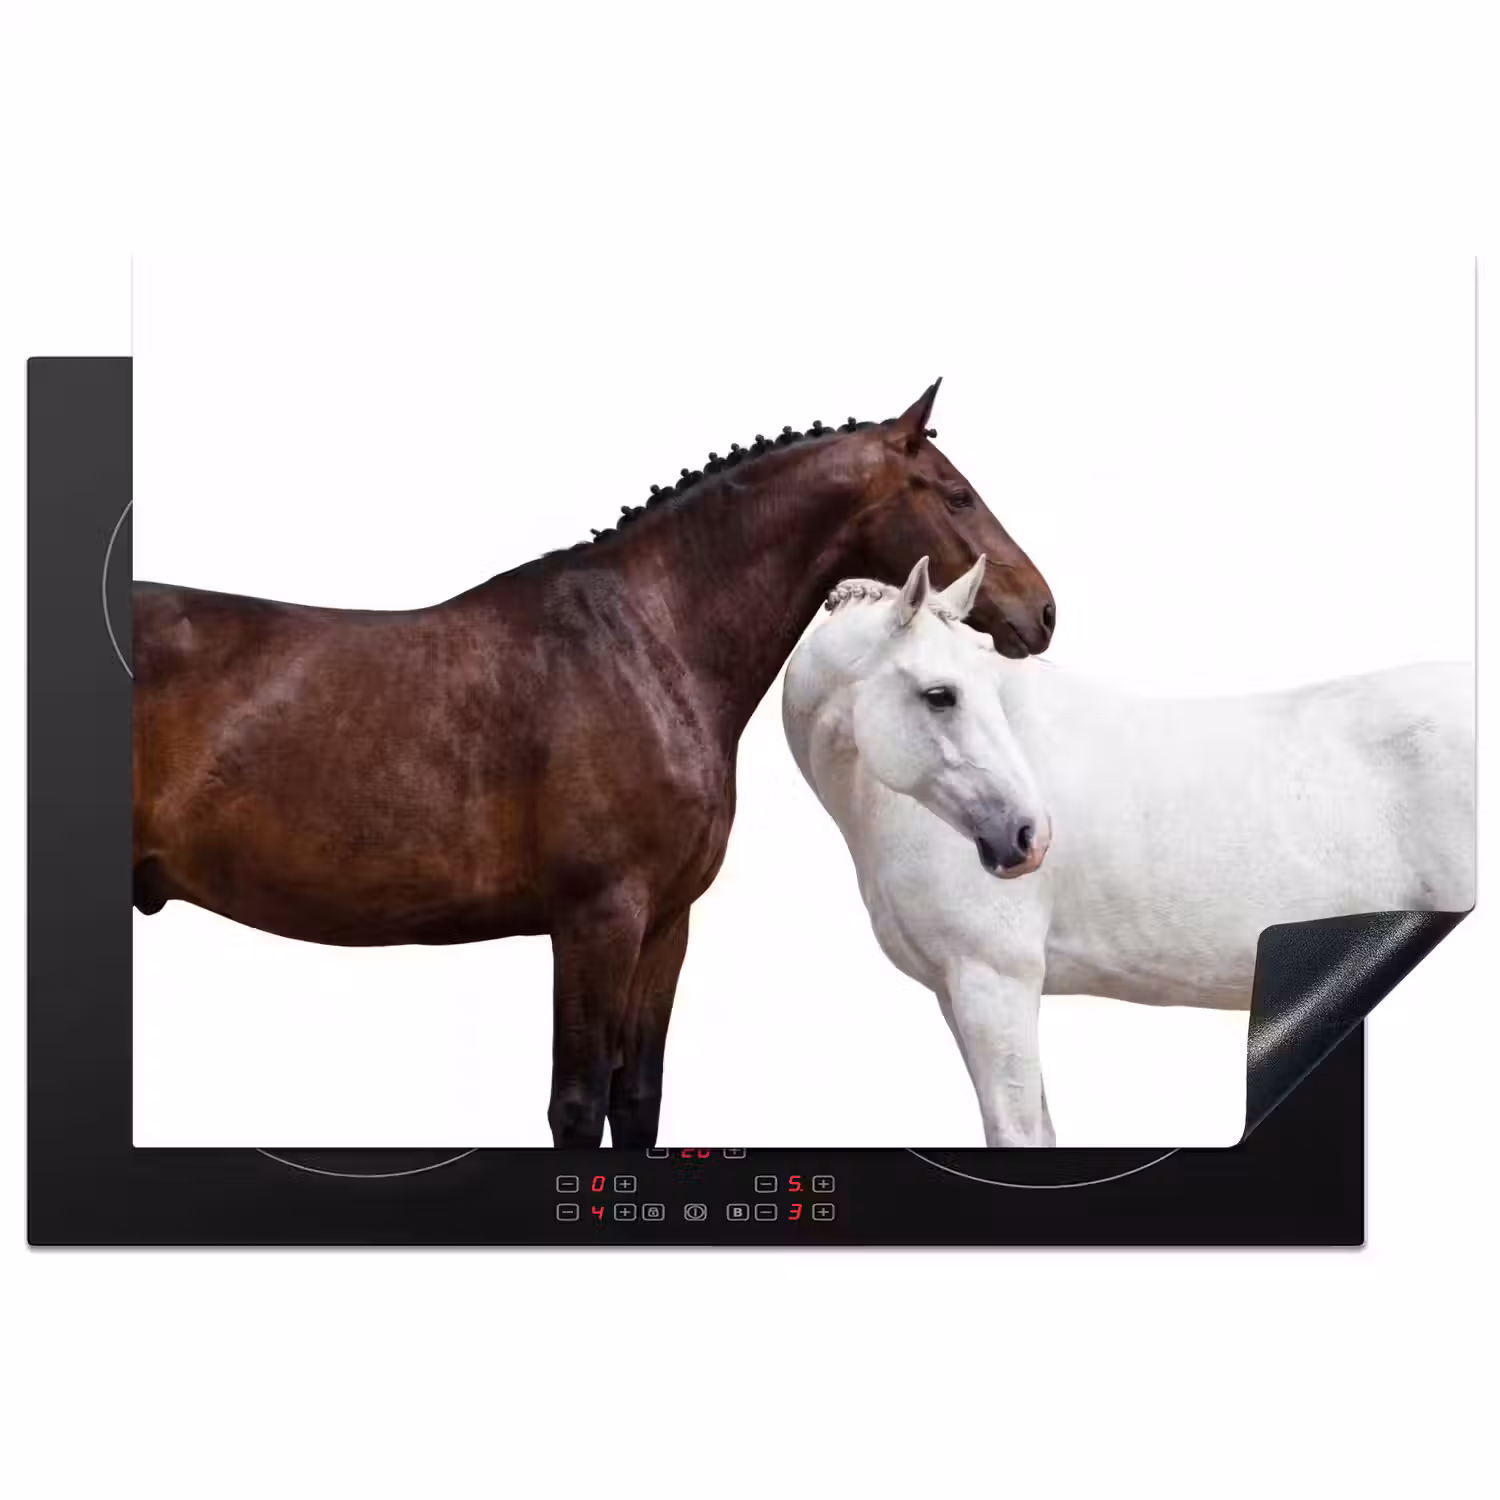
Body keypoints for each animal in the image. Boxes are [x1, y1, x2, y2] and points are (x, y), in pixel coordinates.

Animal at [131, 381, 1056, 1149]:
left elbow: (636, 1100)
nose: (1042, 611)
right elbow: (577, 1106)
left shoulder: (666, 924)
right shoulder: (595, 919)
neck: (646, 645)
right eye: (957, 493)